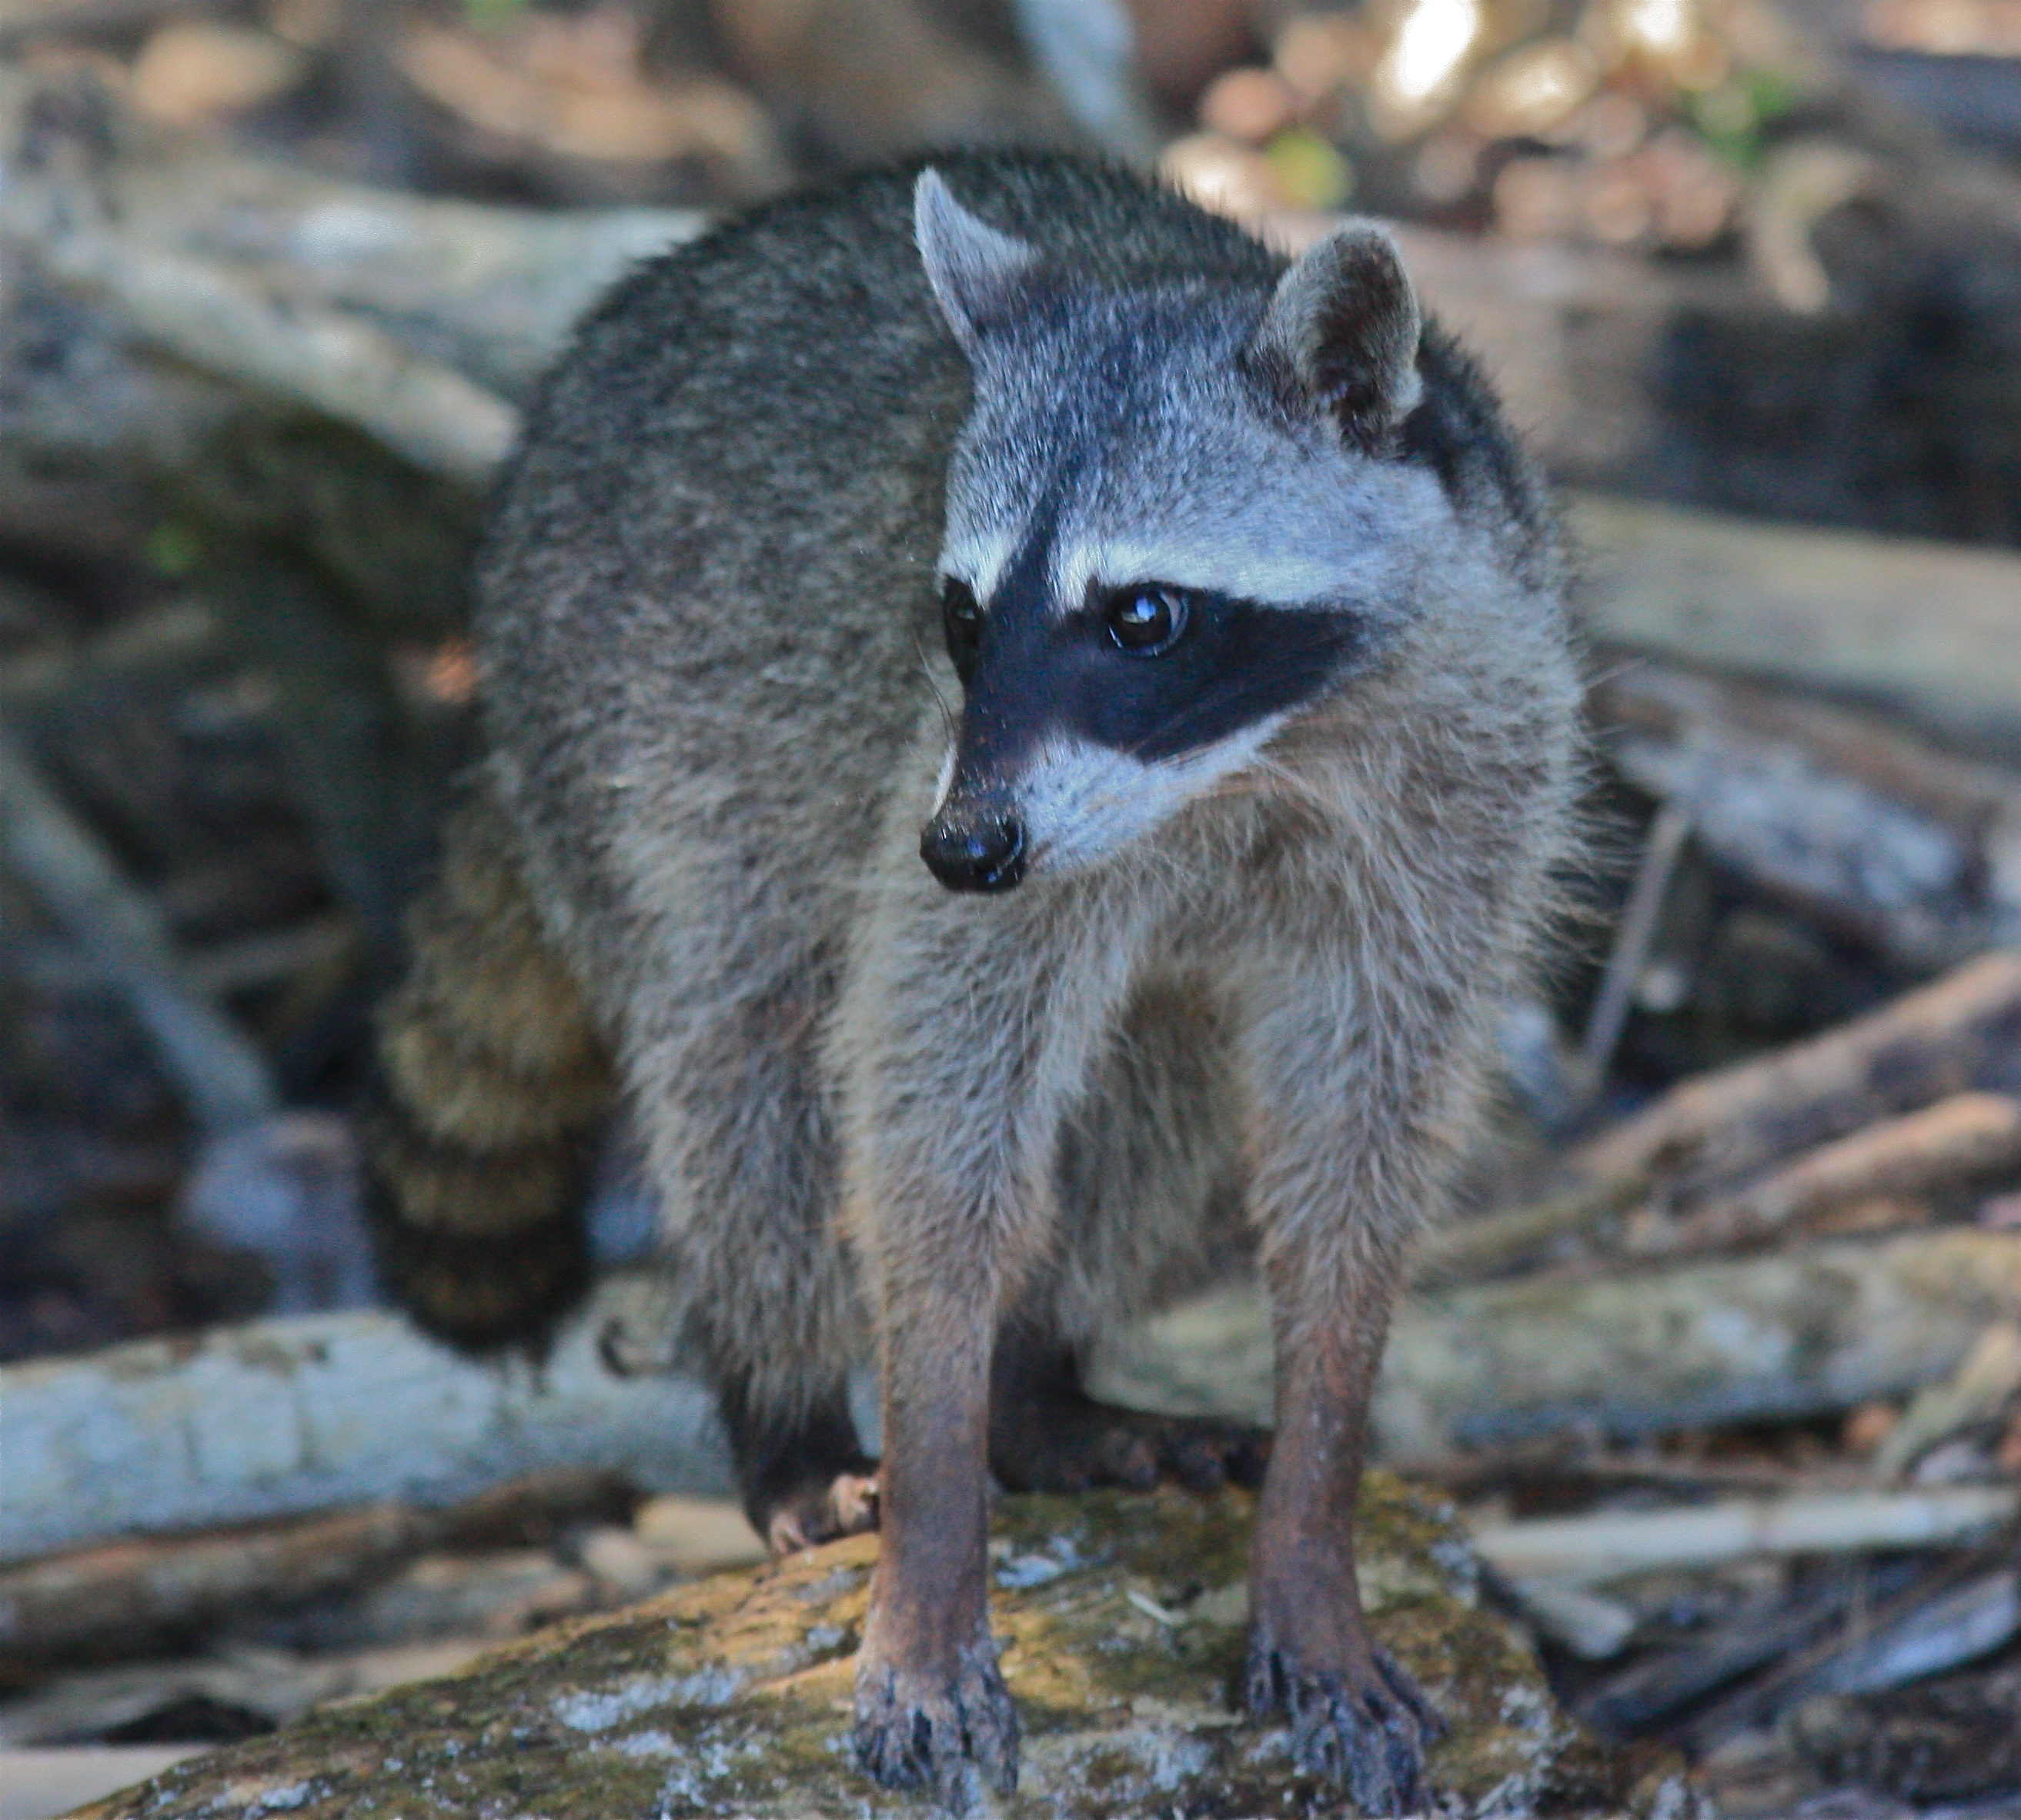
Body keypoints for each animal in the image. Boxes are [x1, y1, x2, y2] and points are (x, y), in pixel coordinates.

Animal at [372, 152, 1584, 1802]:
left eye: (1141, 614)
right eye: (958, 615)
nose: (967, 847)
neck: (1253, 757)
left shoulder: (1471, 782)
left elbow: (1361, 1151)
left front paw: (1314, 1505)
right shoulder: (934, 783)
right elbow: (930, 1129)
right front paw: (936, 1509)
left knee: (1150, 1093)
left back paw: (1039, 1387)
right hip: (631, 724)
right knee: (743, 1053)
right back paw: (789, 1409)